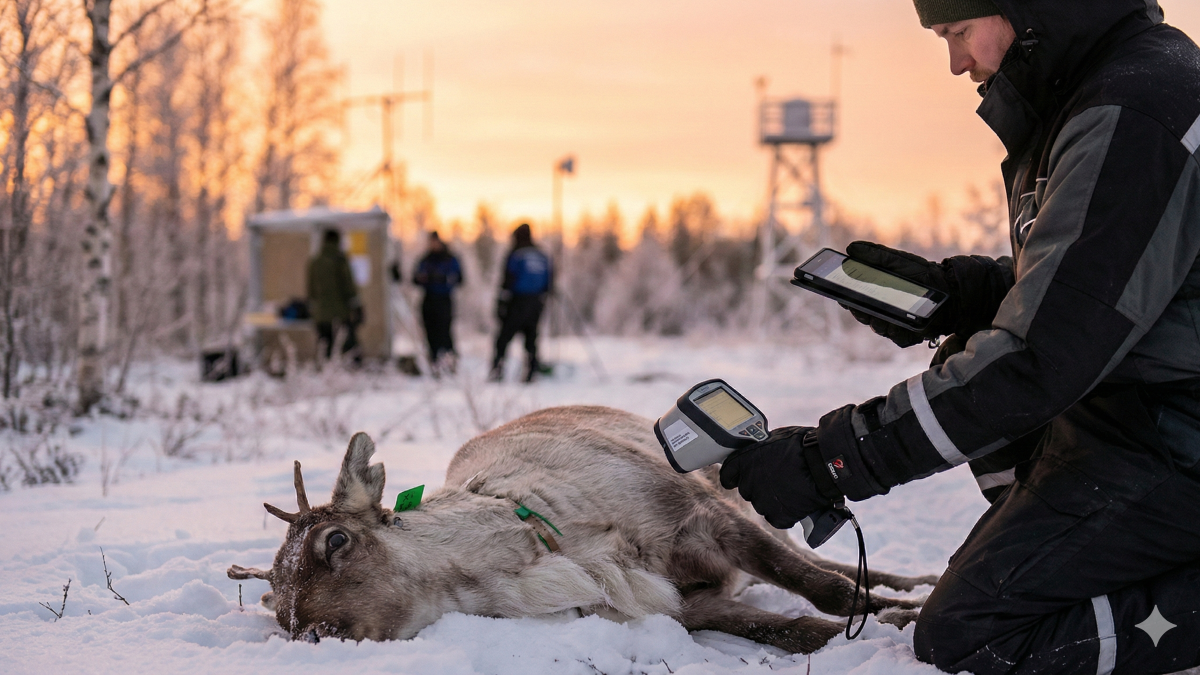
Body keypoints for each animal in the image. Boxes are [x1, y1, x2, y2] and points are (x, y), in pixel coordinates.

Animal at [228, 405, 938, 654]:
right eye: (280, 611)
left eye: (336, 541)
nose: (311, 634)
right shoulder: (689, 605)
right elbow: (796, 629)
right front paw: (888, 625)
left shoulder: (702, 519)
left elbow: (826, 592)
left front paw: (901, 620)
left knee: (834, 565)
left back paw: (923, 581)